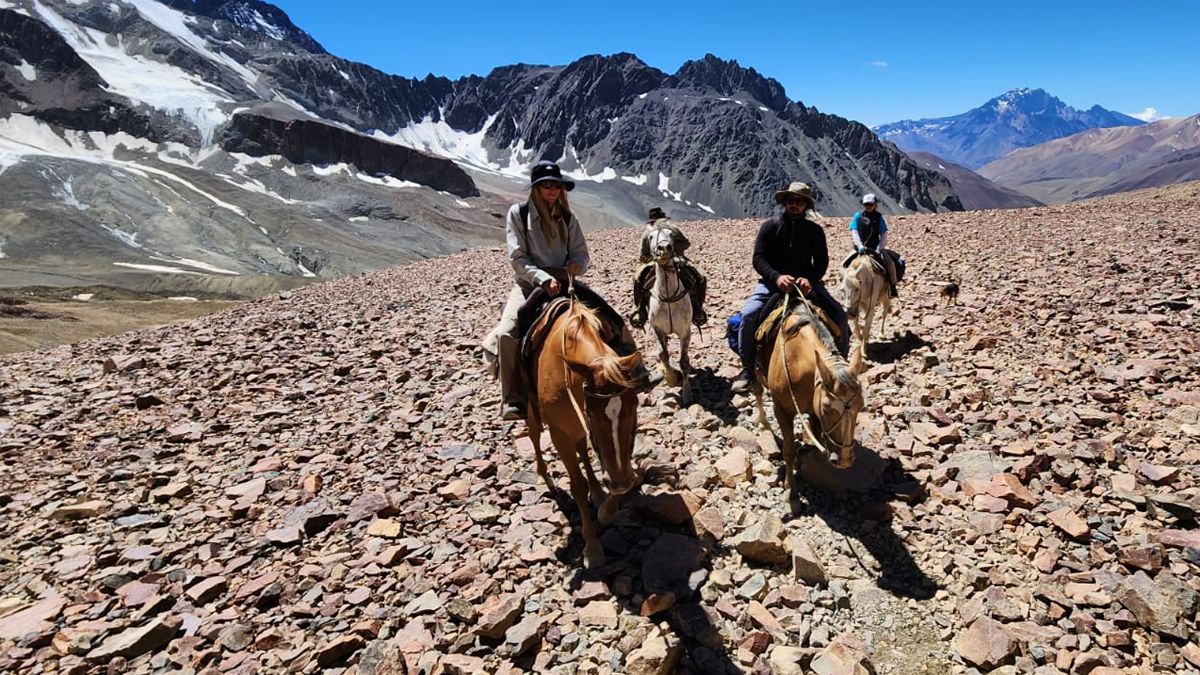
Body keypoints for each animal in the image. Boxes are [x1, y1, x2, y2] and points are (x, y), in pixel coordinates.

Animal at [525, 291, 652, 564]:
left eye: (635, 405)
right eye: (591, 411)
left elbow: (618, 471)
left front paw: (606, 508)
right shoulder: (559, 433)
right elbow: (578, 486)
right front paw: (592, 548)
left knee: (583, 447)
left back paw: (598, 491)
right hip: (531, 410)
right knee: (534, 434)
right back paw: (542, 474)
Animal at [648, 223, 696, 401]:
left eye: (671, 235)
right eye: (650, 237)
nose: (664, 248)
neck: (668, 295)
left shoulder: (684, 332)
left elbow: (684, 361)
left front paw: (688, 394)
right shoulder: (657, 329)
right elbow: (664, 354)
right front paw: (671, 379)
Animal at [748, 293, 864, 487]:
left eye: (860, 407)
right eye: (827, 408)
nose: (844, 460)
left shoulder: (814, 411)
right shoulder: (782, 410)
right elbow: (789, 449)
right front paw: (790, 485)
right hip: (755, 374)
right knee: (757, 391)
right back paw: (764, 423)